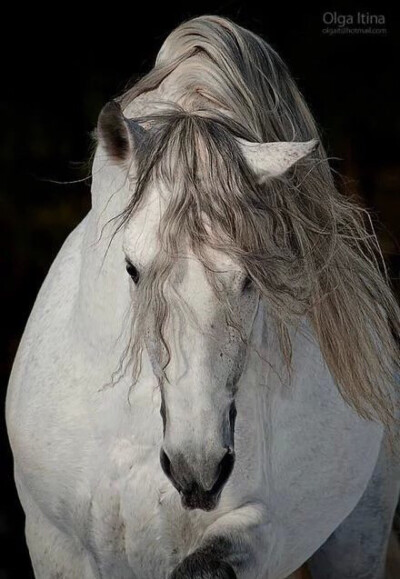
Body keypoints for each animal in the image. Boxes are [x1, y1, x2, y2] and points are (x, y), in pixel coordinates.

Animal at [6, 14, 400, 579]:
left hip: (357, 536)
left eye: (253, 278)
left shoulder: (257, 531)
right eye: (132, 268)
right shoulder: (53, 540)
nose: (200, 469)